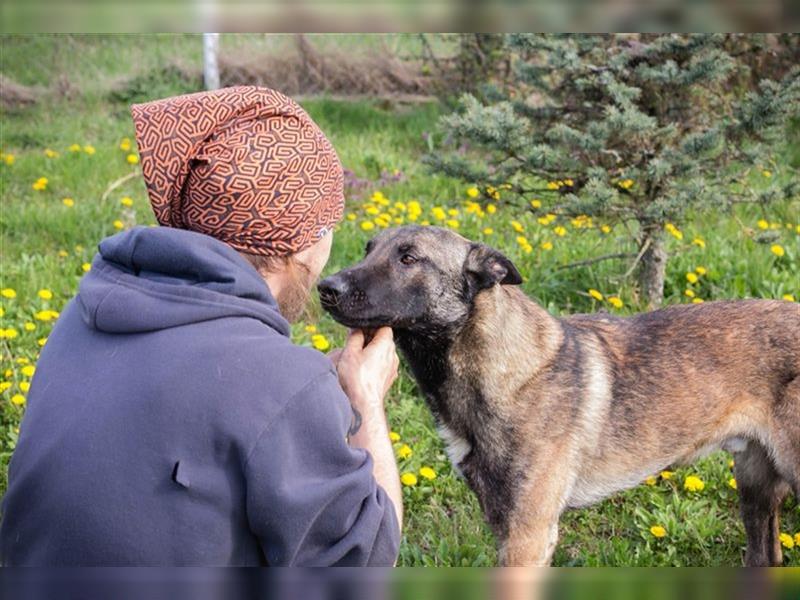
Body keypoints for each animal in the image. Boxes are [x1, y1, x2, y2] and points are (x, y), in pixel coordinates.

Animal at [318, 225, 800, 568]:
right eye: (368, 249)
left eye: (409, 258)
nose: (327, 287)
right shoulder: (506, 526)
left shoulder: (528, 536)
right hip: (754, 487)